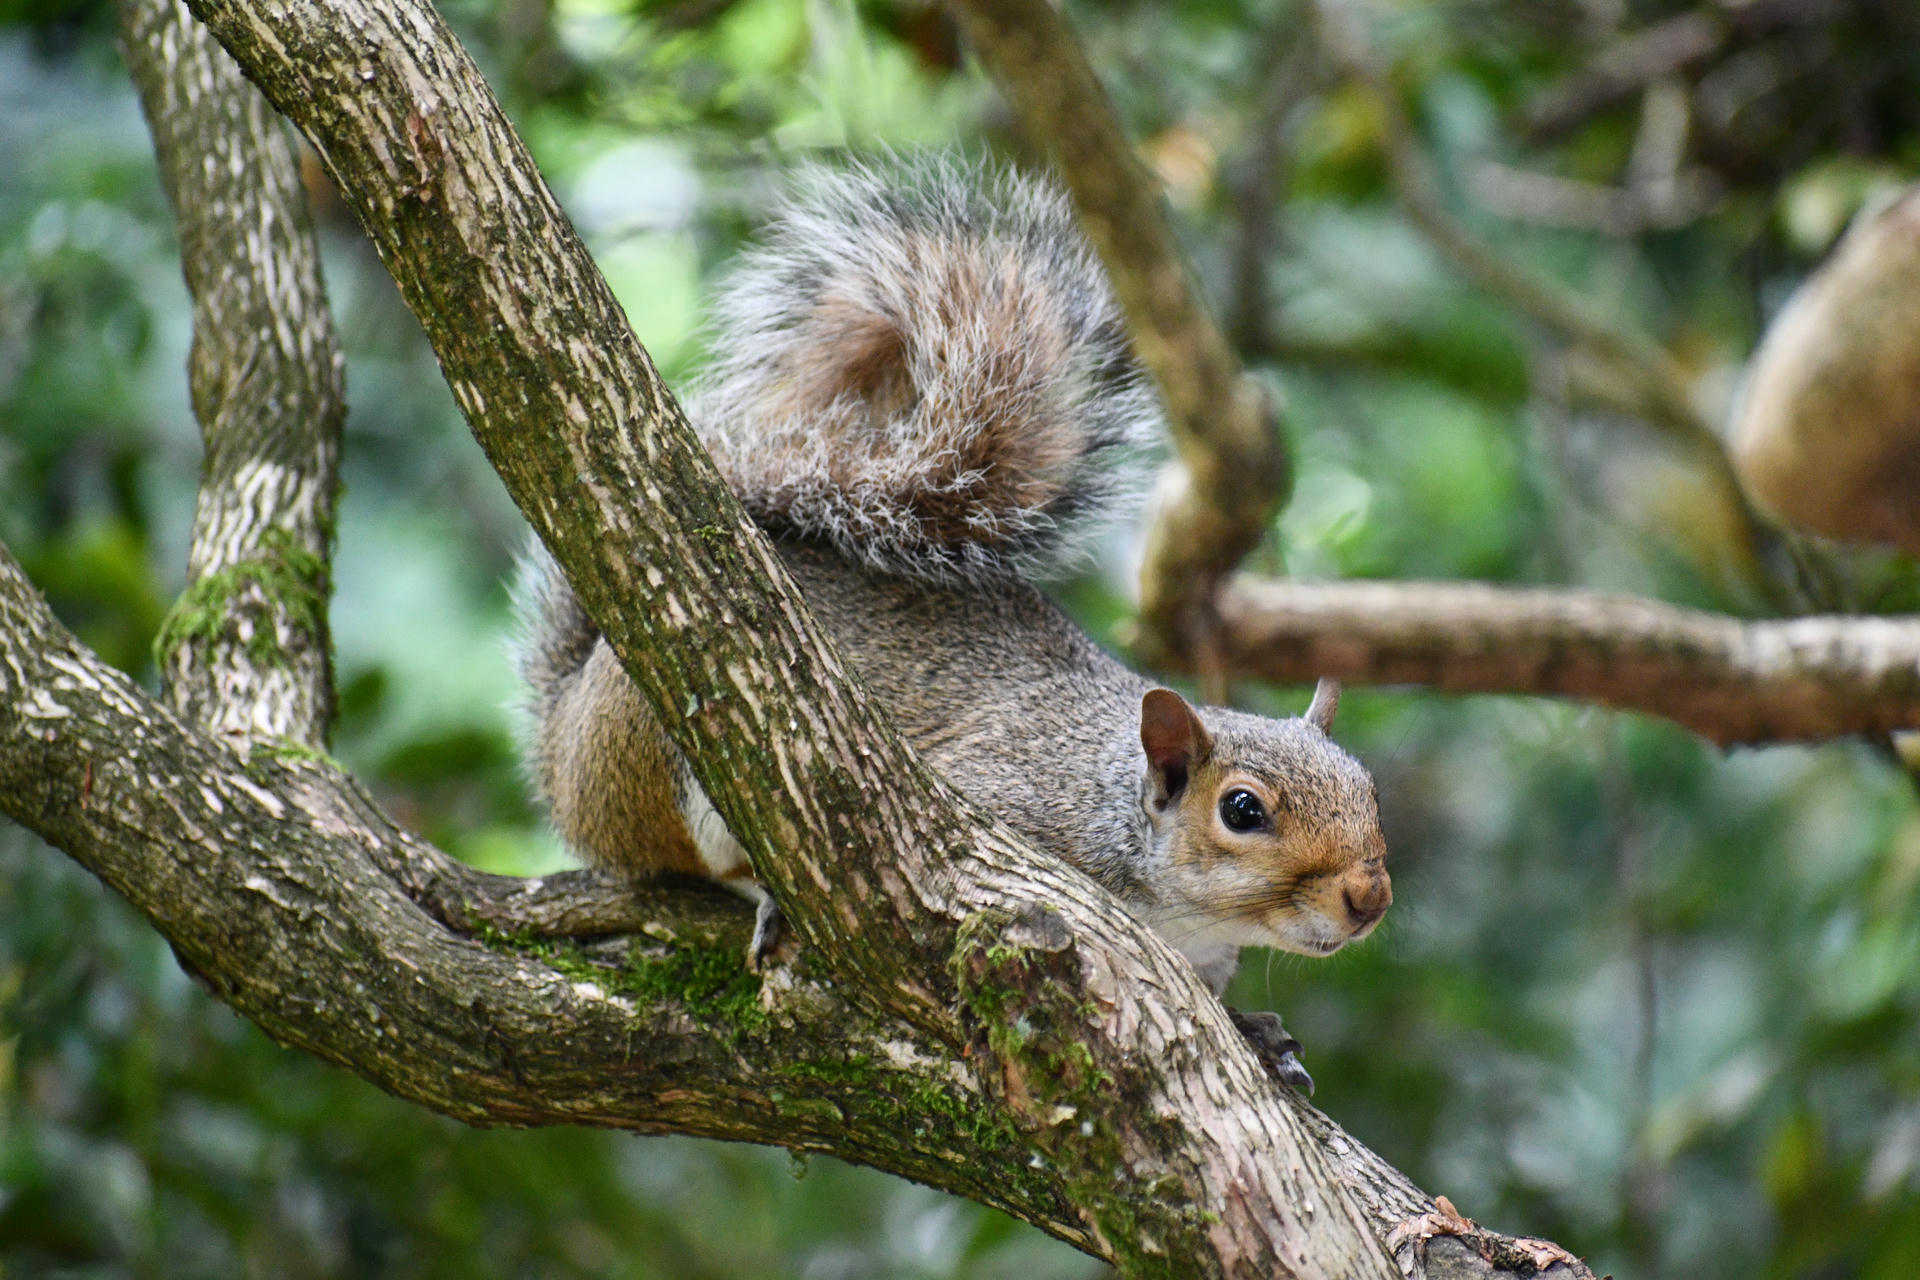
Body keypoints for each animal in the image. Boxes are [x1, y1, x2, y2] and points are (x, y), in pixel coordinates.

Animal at [514, 157, 1390, 1090]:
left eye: (1367, 788)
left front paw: (1256, 1030)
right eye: (1243, 811)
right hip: (655, 755)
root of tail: (564, 733)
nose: (1370, 897)